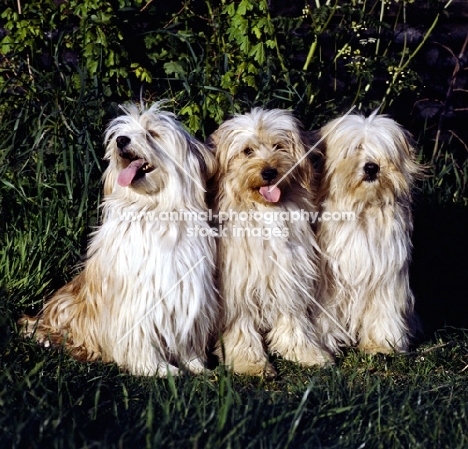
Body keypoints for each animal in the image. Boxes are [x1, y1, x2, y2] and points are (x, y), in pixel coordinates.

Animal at [20, 103, 219, 376]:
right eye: (120, 134)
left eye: (151, 133)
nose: (121, 140)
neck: (152, 209)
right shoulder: (136, 299)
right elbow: (140, 336)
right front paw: (156, 368)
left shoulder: (187, 291)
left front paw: (196, 365)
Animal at [210, 107, 330, 374]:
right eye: (247, 151)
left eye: (279, 146)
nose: (269, 171)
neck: (265, 212)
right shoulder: (238, 288)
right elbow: (241, 327)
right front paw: (249, 363)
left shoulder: (290, 277)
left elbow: (293, 319)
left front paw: (305, 353)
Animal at [318, 111, 420, 354]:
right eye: (355, 148)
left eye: (383, 150)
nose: (372, 167)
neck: (362, 209)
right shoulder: (329, 279)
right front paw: (326, 341)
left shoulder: (386, 273)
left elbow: (383, 309)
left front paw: (382, 343)